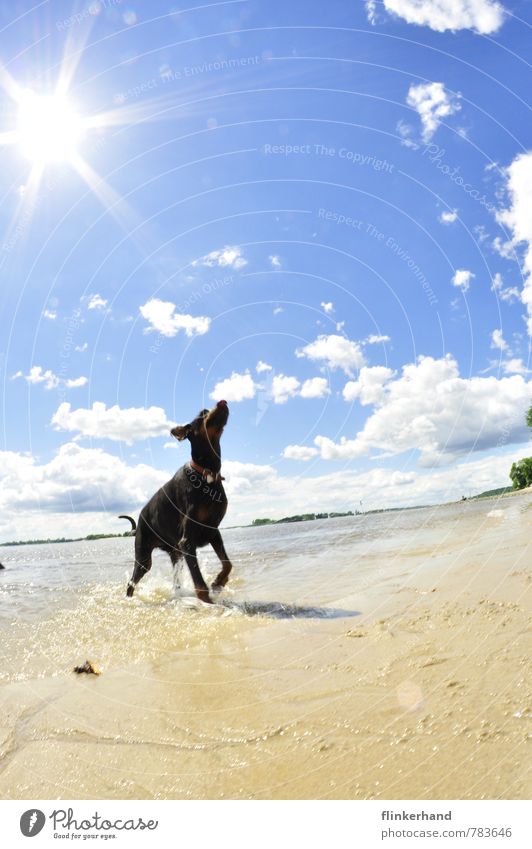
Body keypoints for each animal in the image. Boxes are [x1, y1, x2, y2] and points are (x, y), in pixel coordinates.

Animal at [120, 400, 233, 604]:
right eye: (202, 414)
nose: (222, 401)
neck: (206, 474)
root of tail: (139, 522)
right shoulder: (187, 541)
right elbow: (199, 583)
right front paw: (208, 602)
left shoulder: (213, 531)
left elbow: (227, 564)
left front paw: (219, 582)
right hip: (144, 558)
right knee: (131, 582)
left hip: (176, 554)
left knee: (176, 582)